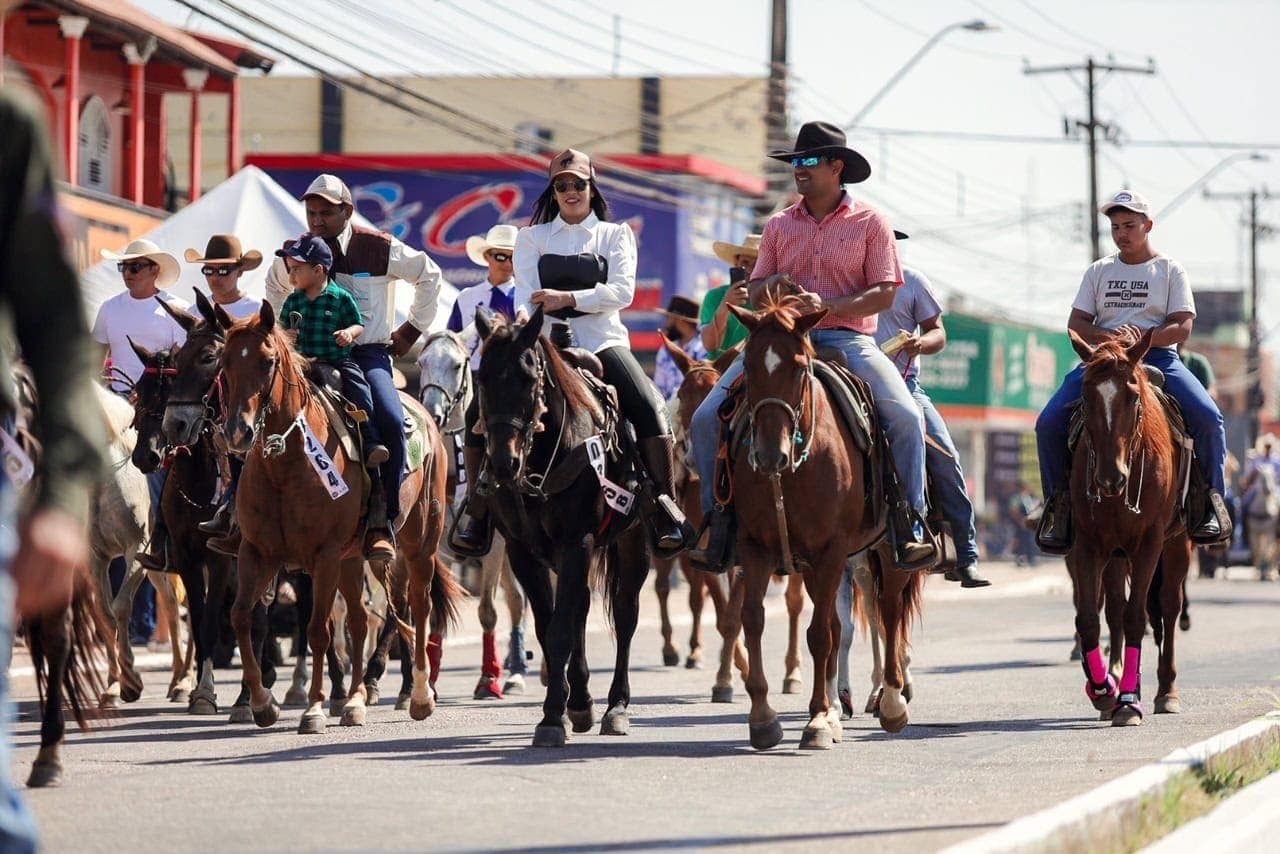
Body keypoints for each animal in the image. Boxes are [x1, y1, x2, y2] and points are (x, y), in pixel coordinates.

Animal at [218, 302, 460, 737]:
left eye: (267, 361)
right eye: (224, 361)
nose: (239, 433)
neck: (286, 463)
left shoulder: (324, 557)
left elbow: (318, 630)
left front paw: (313, 709)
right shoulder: (256, 553)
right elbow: (242, 616)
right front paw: (262, 703)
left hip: (418, 546)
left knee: (416, 605)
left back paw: (418, 695)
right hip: (354, 557)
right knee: (362, 621)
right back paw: (355, 702)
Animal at [419, 330, 529, 696]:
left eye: (457, 364)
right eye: (422, 362)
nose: (432, 412)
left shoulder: (493, 550)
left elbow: (488, 611)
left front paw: (488, 677)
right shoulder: (439, 550)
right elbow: (436, 613)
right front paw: (431, 681)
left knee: (518, 602)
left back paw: (518, 673)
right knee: (518, 600)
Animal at [473, 307, 650, 747]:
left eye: (527, 378)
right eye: (481, 379)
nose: (503, 464)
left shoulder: (577, 542)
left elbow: (559, 631)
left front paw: (553, 717)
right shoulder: (523, 550)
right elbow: (548, 624)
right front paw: (567, 707)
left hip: (633, 542)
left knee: (625, 614)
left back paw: (616, 707)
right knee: (581, 608)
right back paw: (583, 700)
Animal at [727, 291, 926, 747]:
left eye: (800, 366)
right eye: (747, 365)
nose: (770, 453)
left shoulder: (831, 551)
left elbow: (820, 633)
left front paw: (818, 719)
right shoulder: (754, 548)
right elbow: (754, 620)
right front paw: (763, 717)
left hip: (886, 549)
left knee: (889, 612)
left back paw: (892, 701)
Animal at [1059, 330, 1187, 727]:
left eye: (1132, 396)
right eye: (1086, 397)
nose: (1110, 478)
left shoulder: (1149, 543)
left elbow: (1136, 617)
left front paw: (1128, 701)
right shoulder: (1087, 545)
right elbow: (1088, 617)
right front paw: (1103, 689)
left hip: (1177, 544)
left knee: (1168, 606)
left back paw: (1165, 691)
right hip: (1116, 553)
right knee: (1115, 606)